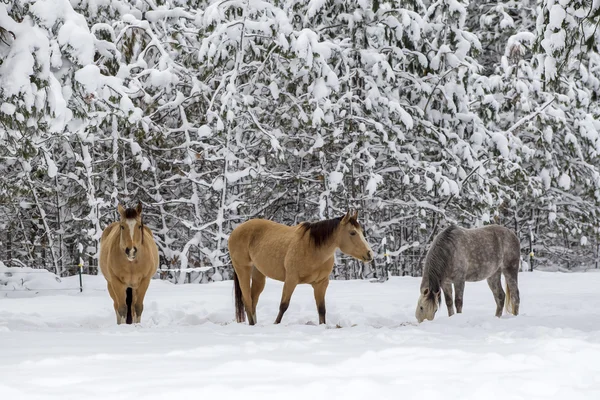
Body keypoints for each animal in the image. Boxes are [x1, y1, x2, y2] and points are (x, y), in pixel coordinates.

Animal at [229, 209, 372, 324]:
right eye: (352, 233)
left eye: (361, 231)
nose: (370, 254)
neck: (313, 248)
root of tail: (235, 231)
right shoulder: (291, 280)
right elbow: (283, 305)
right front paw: (276, 324)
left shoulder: (321, 284)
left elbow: (321, 309)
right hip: (243, 269)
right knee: (246, 299)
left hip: (258, 274)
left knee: (253, 299)